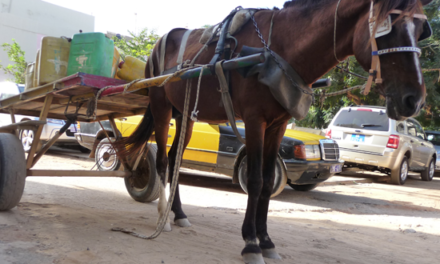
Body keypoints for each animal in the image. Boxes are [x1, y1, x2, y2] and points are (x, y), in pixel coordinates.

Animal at [122, 1, 432, 262]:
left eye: (420, 32)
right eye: (388, 29)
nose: (414, 100)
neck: (279, 51)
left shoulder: (278, 125)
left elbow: (269, 181)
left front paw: (266, 240)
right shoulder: (254, 120)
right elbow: (256, 180)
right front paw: (251, 243)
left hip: (185, 114)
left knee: (176, 158)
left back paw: (178, 213)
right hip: (161, 107)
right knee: (163, 160)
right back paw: (162, 215)